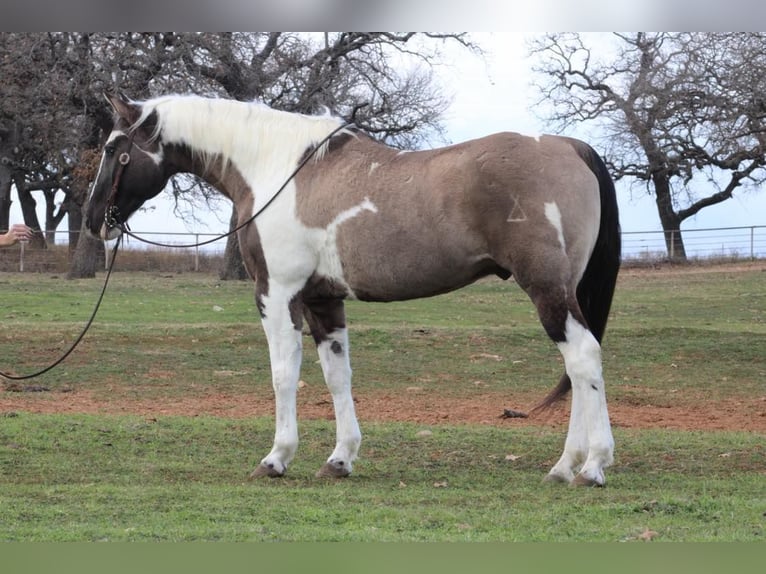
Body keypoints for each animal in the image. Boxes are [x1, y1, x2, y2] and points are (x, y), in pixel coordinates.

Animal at [85, 92, 624, 488]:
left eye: (113, 148)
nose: (93, 222)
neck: (276, 168)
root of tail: (569, 147)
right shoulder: (323, 301)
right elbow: (336, 377)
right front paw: (339, 459)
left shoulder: (277, 295)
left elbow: (284, 376)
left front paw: (276, 458)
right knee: (578, 369)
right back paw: (566, 467)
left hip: (548, 290)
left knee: (583, 359)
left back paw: (592, 466)